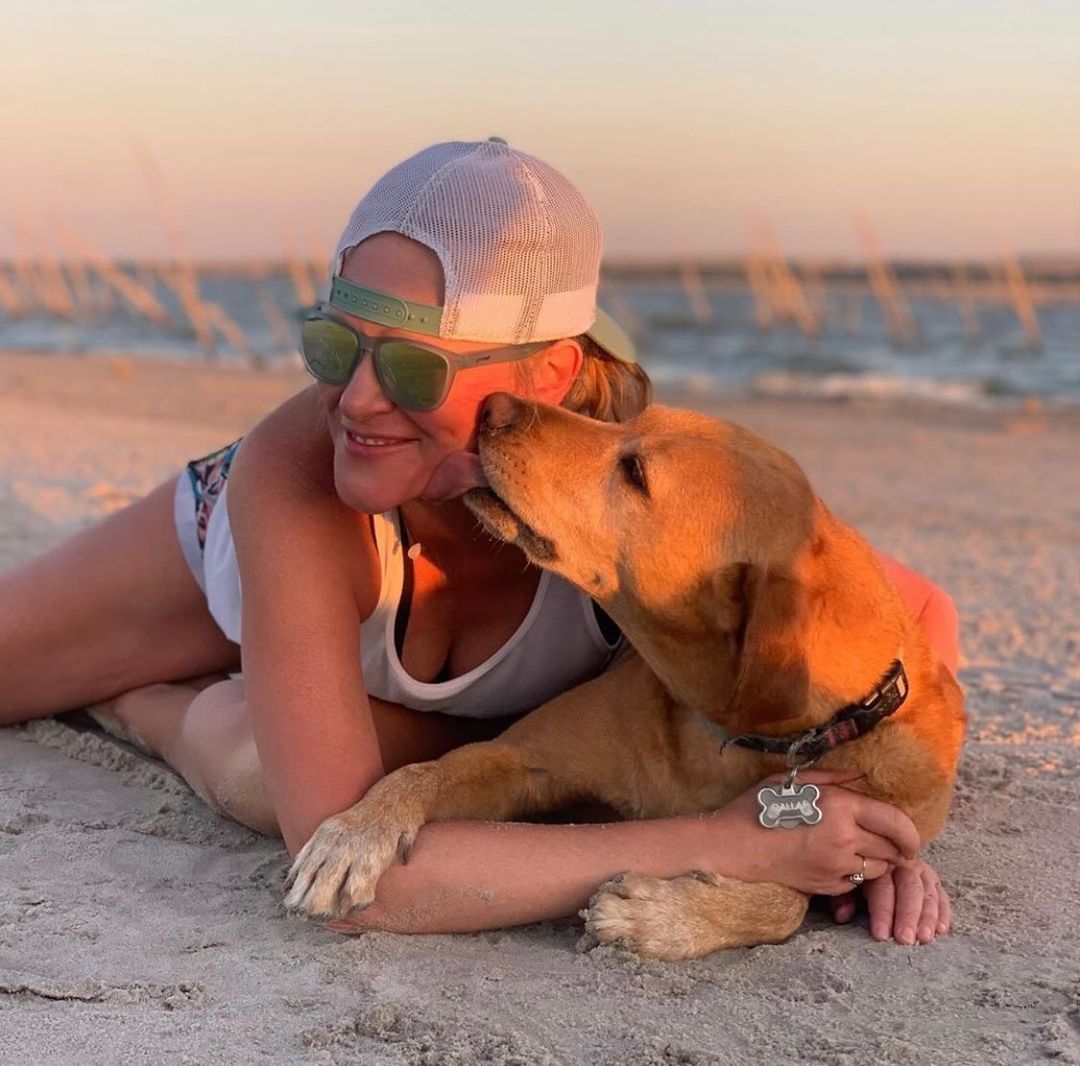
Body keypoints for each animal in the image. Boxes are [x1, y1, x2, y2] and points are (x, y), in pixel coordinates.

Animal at [285, 395, 963, 963]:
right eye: (632, 420)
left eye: (635, 472)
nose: (493, 405)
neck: (721, 727)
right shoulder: (518, 760)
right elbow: (420, 773)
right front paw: (355, 833)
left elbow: (788, 902)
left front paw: (662, 917)